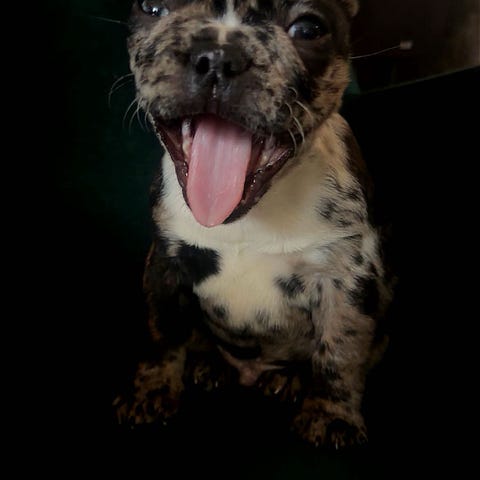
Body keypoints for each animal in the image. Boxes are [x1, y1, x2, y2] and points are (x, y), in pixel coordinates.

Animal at [116, 0, 392, 448]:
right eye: (152, 8)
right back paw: (211, 365)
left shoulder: (347, 278)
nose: (217, 55)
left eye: (308, 28)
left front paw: (332, 414)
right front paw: (152, 390)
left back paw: (290, 380)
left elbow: (341, 348)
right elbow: (163, 331)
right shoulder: (164, 265)